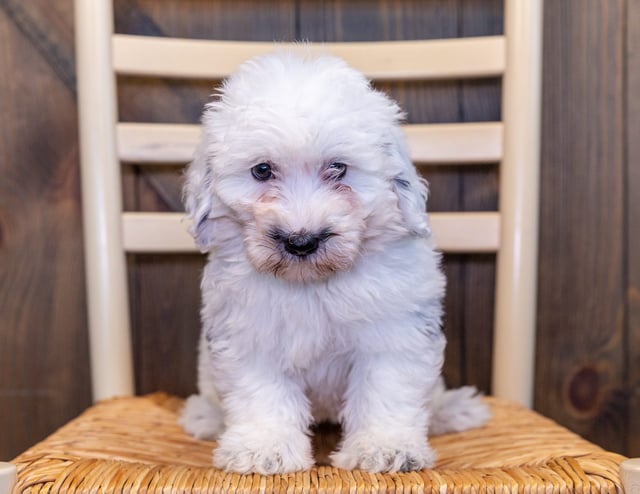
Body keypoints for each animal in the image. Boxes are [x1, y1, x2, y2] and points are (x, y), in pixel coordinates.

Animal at [180, 51, 490, 474]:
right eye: (262, 170)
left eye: (338, 168)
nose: (301, 241)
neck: (312, 283)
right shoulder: (250, 333)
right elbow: (260, 394)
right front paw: (263, 447)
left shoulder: (394, 332)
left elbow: (387, 389)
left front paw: (386, 447)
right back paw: (207, 416)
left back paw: (452, 411)